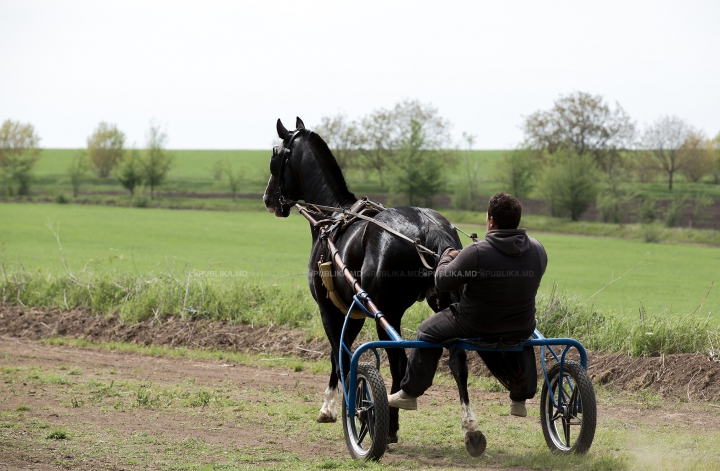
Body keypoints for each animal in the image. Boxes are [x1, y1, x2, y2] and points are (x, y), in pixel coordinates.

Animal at [264, 117, 484, 450]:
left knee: (398, 362)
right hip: (444, 304)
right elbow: (342, 353)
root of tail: (428, 225)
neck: (332, 220)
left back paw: (389, 424)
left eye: (275, 156)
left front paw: (334, 407)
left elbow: (339, 355)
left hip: (388, 312)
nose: (268, 198)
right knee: (457, 359)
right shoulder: (354, 311)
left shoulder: (331, 310)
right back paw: (469, 427)